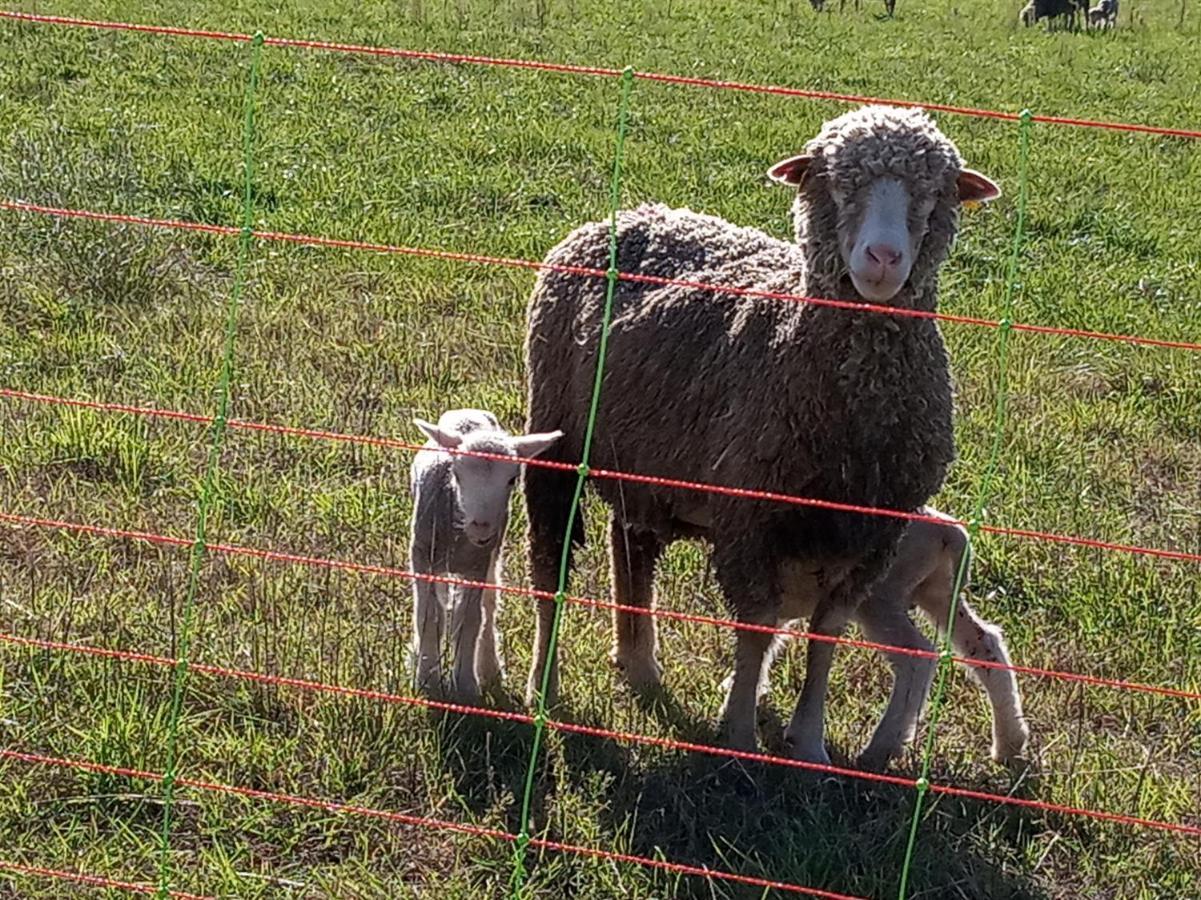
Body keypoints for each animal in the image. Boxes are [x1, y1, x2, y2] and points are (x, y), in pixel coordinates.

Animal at [408, 408, 562, 701]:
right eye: (457, 474)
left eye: (512, 479)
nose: (481, 526)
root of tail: (467, 412)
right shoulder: (422, 555)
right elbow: (429, 615)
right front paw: (427, 678)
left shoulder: (477, 563)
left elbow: (469, 620)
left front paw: (466, 684)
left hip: (493, 552)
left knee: (488, 606)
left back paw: (490, 668)